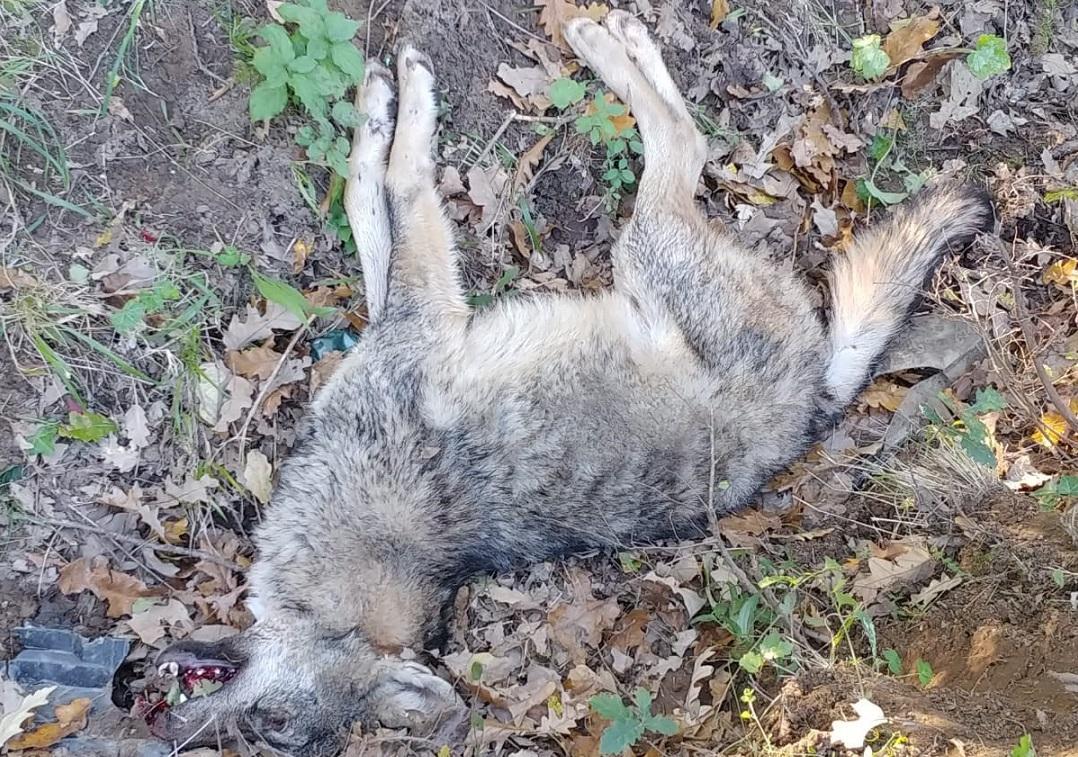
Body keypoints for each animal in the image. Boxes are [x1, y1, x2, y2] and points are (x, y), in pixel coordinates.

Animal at [150, 11, 992, 755]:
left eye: (265, 728)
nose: (161, 724)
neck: (358, 566)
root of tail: (812, 406)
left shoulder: (425, 314)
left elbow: (393, 184)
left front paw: (399, 96)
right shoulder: (413, 315)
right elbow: (372, 208)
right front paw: (380, 103)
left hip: (645, 246)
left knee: (683, 142)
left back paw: (603, 41)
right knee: (683, 144)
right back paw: (618, 36)